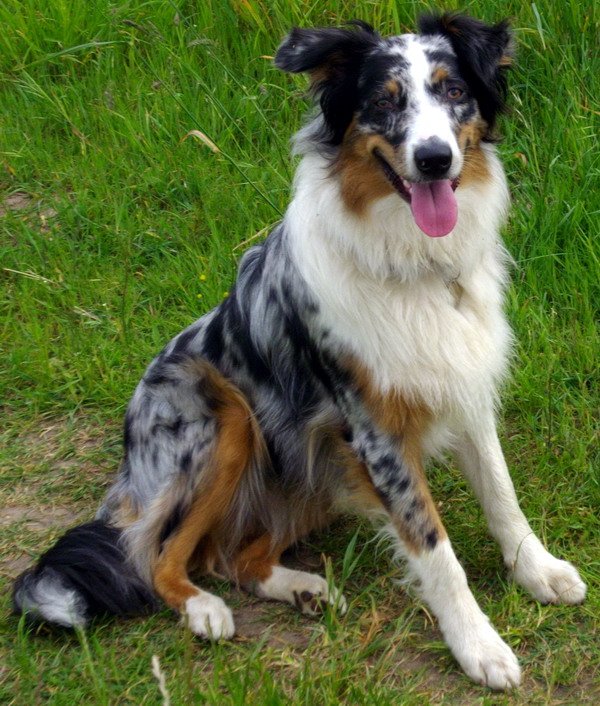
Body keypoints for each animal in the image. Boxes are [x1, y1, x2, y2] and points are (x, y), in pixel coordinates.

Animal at [12, 13, 584, 692]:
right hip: (224, 419)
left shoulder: (461, 384)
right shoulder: (374, 435)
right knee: (154, 552)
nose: (434, 158)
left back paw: (303, 588)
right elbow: (434, 546)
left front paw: (538, 571)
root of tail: (130, 457)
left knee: (235, 556)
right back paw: (204, 610)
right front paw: (479, 646)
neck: (414, 261)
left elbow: (502, 495)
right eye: (383, 103)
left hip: (315, 467)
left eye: (453, 92)